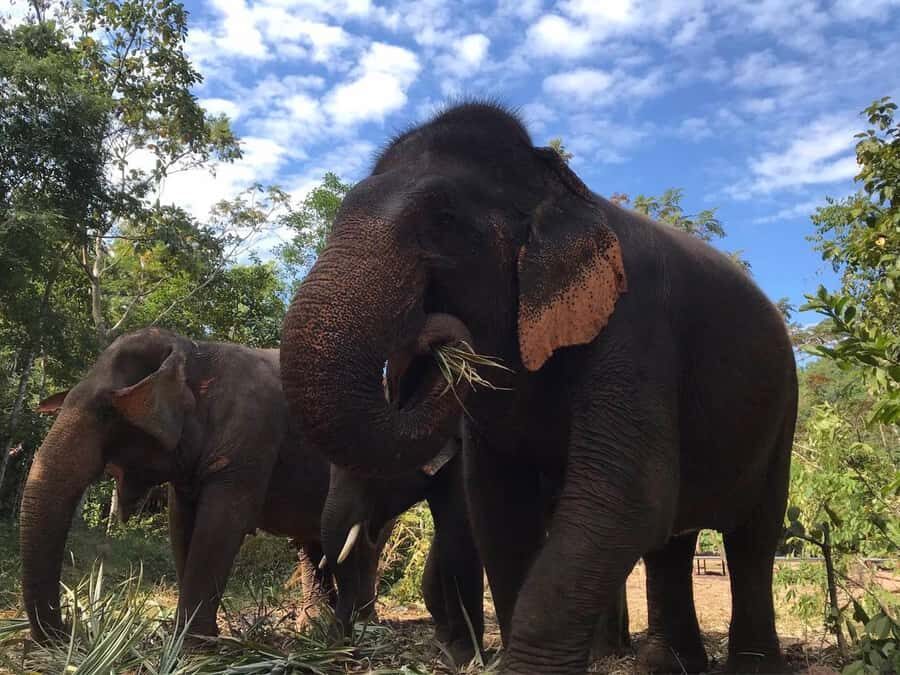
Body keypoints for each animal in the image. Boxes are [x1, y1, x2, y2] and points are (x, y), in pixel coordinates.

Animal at [19, 327, 483, 661]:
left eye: (105, 412)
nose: (69, 636)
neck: (194, 351)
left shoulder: (251, 438)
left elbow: (221, 525)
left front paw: (193, 650)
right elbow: (181, 525)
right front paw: (194, 642)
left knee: (365, 540)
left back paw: (360, 627)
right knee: (315, 543)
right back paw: (316, 628)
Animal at [280, 102, 798, 674]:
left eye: (443, 222)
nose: (435, 339)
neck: (563, 188)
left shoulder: (636, 328)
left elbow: (623, 497)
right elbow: (499, 506)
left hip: (783, 413)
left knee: (752, 537)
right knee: (674, 541)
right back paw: (664, 664)